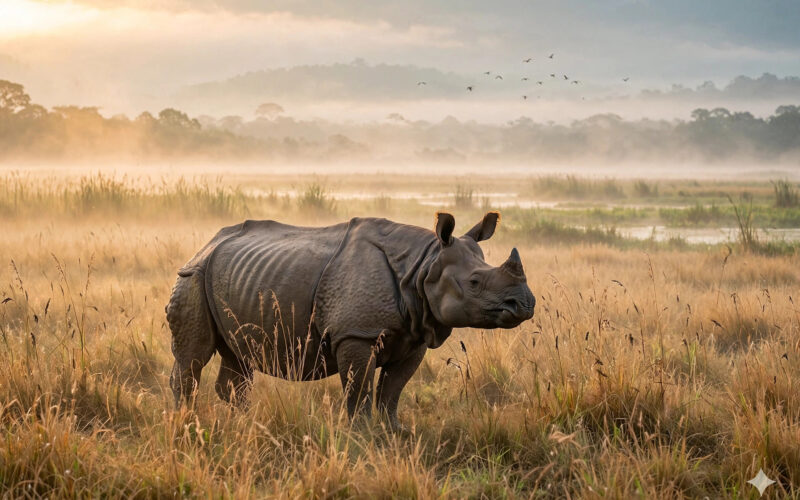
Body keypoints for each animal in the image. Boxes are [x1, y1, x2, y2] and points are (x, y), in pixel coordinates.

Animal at [166, 212, 535, 428]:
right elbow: (359, 391)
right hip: (194, 276)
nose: (526, 304)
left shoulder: (414, 334)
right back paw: (187, 421)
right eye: (474, 282)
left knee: (238, 358)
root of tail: (207, 244)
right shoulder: (357, 333)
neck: (423, 264)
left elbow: (392, 390)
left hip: (235, 277)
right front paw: (361, 435)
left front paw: (393, 432)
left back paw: (246, 423)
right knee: (194, 357)